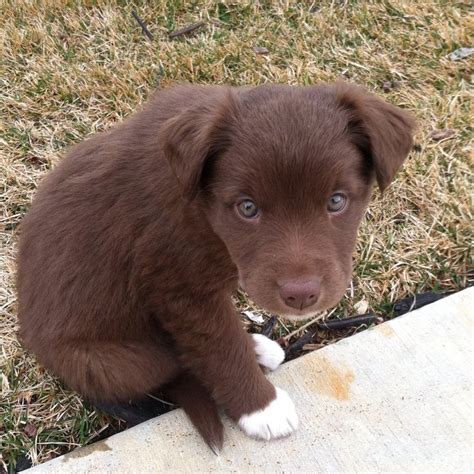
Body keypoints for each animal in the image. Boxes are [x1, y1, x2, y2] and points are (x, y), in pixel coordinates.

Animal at [16, 82, 412, 452]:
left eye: (336, 201)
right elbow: (220, 345)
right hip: (103, 361)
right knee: (171, 362)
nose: (301, 295)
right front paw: (261, 409)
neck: (201, 207)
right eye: (247, 208)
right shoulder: (179, 288)